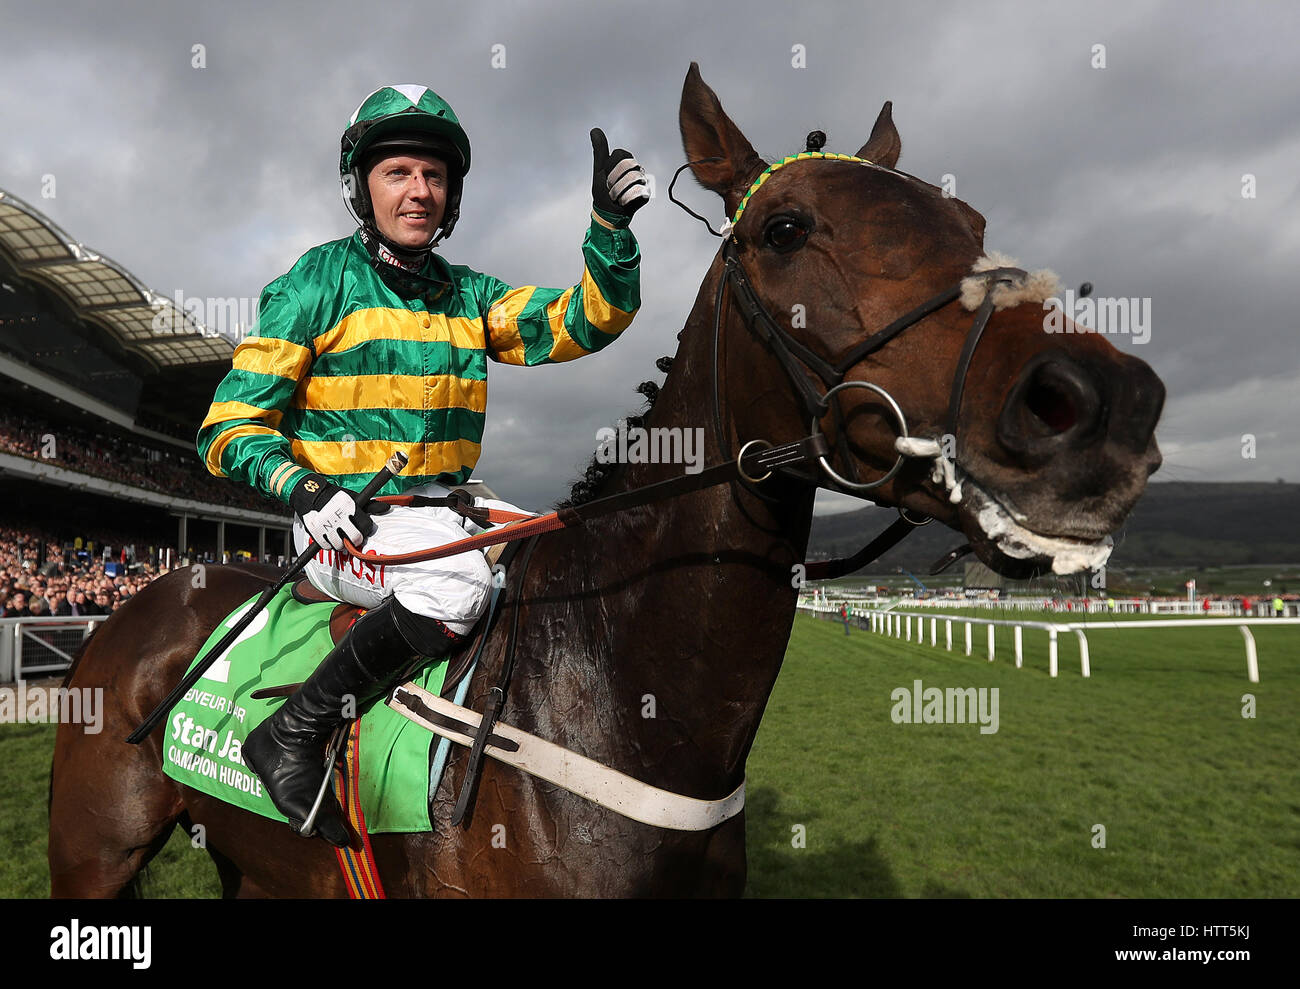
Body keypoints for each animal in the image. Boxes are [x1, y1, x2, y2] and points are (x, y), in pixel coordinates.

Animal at [45, 61, 1164, 894]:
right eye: (786, 229)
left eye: (973, 227)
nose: (1103, 406)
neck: (613, 700)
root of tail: (135, 604)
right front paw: (327, 502)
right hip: (95, 850)